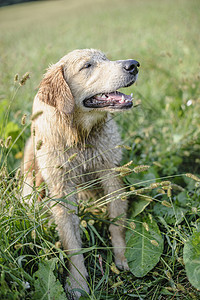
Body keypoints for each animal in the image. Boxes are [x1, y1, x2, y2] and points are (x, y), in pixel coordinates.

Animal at [22, 49, 139, 298]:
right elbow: (72, 243)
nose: (133, 64)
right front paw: (77, 282)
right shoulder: (62, 190)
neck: (78, 134)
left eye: (106, 59)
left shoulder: (111, 173)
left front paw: (122, 256)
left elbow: (116, 222)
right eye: (87, 66)